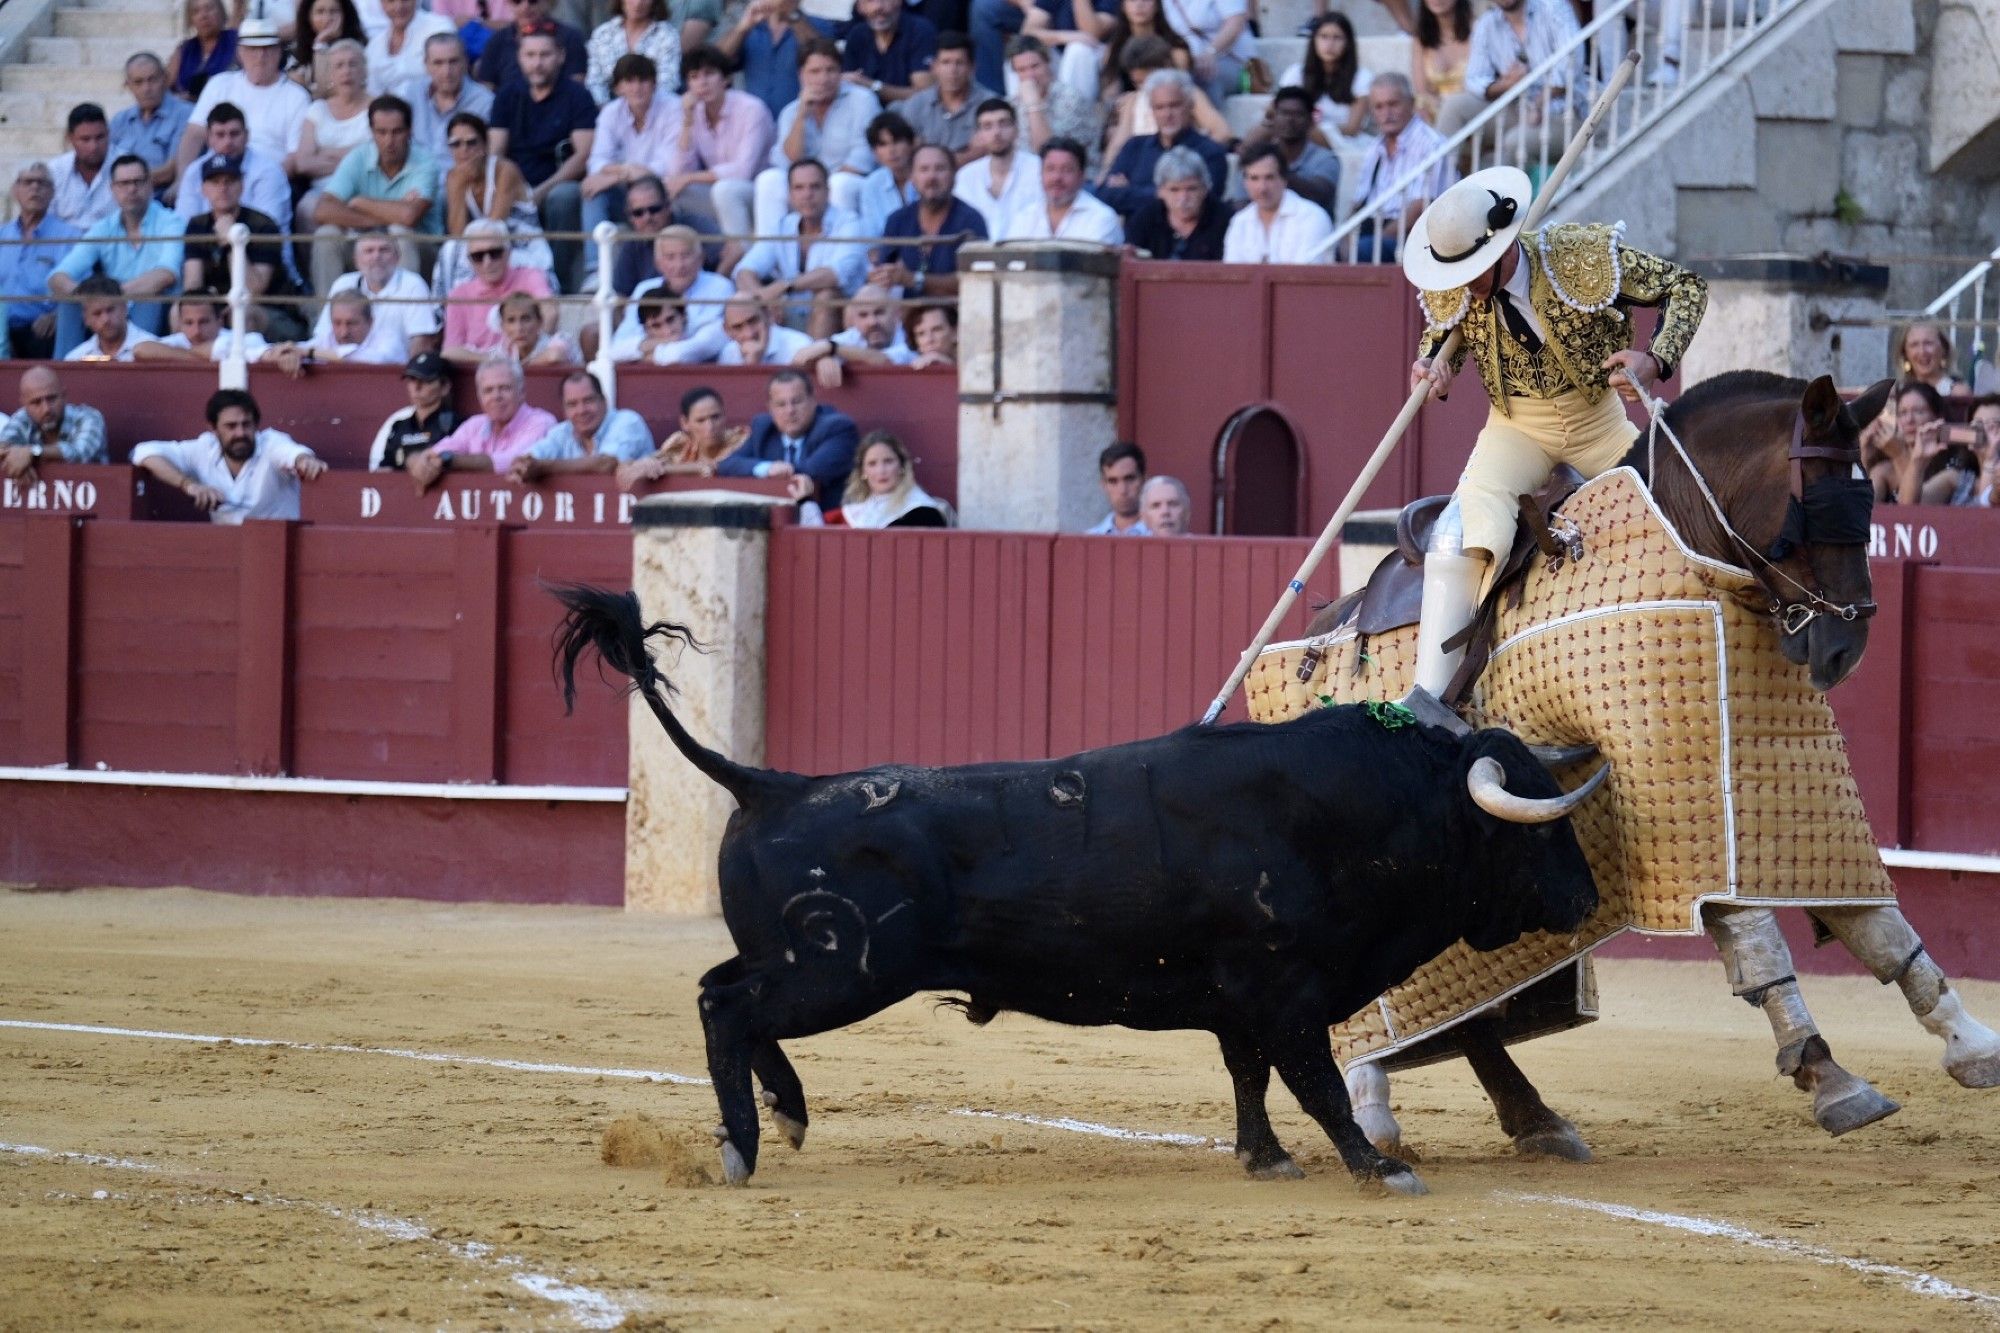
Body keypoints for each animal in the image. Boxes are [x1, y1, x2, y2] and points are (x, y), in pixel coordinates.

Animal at [552, 588, 1592, 1184]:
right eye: (1540, 827)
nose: (1584, 900)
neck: (1362, 810)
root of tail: (772, 781)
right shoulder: (1287, 993)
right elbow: (1317, 1083)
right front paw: (1376, 1167)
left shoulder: (1240, 1001)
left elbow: (1250, 1077)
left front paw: (1263, 1160)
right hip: (839, 969)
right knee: (727, 1006)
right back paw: (742, 1148)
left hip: (806, 963)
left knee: (726, 996)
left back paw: (789, 1117)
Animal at [1312, 368, 2000, 1160]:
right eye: (1812, 509)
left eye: (1870, 511)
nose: (1843, 649)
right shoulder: (1678, 797)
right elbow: (1755, 932)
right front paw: (1829, 1076)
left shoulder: (1792, 796)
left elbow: (1878, 927)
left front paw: (1971, 1043)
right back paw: (1372, 1111)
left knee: (1473, 1012)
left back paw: (1536, 1122)